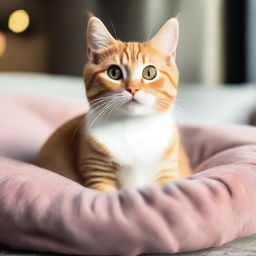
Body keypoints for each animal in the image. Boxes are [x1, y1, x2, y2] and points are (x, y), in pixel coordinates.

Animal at [36, 15, 192, 191]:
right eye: (114, 72)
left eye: (149, 72)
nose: (133, 88)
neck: (132, 127)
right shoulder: (97, 172)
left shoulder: (167, 171)